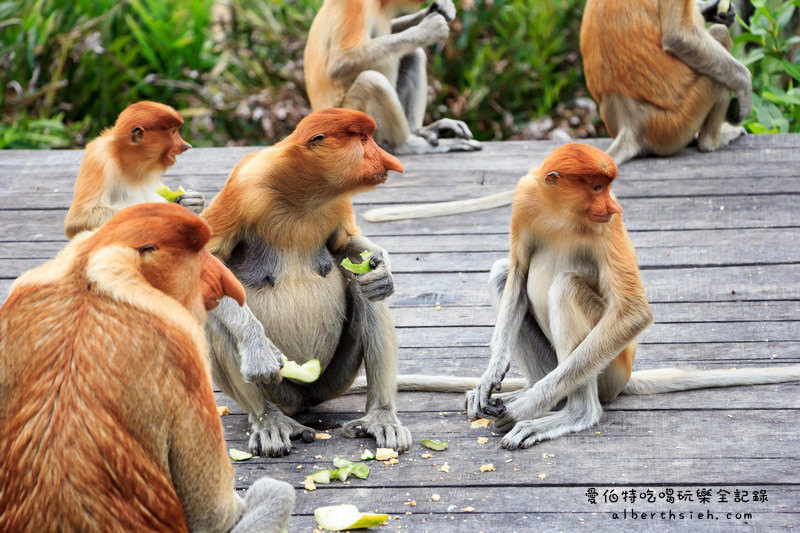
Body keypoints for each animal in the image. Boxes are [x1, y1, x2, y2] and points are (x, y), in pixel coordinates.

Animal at [0, 204, 294, 532]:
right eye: (196, 253)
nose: (224, 280)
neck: (88, 282)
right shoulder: (183, 343)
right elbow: (212, 515)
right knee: (275, 492)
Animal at [64, 101, 286, 390]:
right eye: (172, 132)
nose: (186, 145)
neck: (131, 163)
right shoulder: (98, 158)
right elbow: (78, 220)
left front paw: (189, 203)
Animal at [200, 106, 412, 456]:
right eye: (363, 139)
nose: (388, 160)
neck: (304, 192)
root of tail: (306, 396)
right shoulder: (245, 185)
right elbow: (208, 257)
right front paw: (258, 350)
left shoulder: (338, 201)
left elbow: (344, 246)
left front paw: (383, 269)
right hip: (281, 391)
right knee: (215, 320)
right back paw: (270, 422)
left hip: (334, 380)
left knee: (365, 293)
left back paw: (381, 418)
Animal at [304, 0, 482, 155]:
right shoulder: (355, 4)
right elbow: (340, 63)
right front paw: (430, 29)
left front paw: (441, 8)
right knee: (372, 81)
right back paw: (408, 144)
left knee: (413, 54)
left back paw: (421, 131)